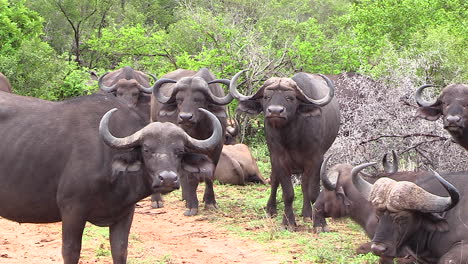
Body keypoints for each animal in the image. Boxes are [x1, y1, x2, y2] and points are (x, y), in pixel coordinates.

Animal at [0, 91, 221, 264]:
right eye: (147, 149)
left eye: (179, 151)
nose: (167, 178)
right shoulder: (72, 210)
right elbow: (71, 252)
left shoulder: (125, 213)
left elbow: (120, 251)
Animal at [150, 68, 232, 217]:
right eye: (179, 100)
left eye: (198, 100)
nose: (185, 117)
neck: (201, 129)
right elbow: (190, 177)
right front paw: (192, 206)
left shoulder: (218, 148)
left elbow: (210, 174)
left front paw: (210, 202)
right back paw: (157, 200)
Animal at [230, 70, 340, 229]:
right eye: (266, 96)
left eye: (290, 97)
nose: (275, 111)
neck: (292, 137)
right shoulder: (278, 158)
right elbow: (287, 193)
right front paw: (288, 222)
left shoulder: (316, 160)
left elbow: (313, 191)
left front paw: (319, 223)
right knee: (275, 181)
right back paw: (271, 209)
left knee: (305, 185)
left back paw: (307, 214)